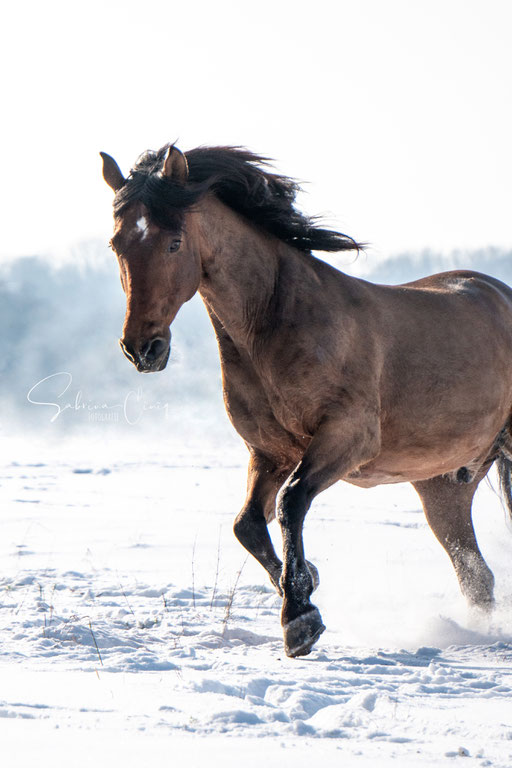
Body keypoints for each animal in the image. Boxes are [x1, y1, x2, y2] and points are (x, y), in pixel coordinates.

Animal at [102, 141, 512, 656]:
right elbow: (247, 524)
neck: (276, 321)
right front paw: (305, 588)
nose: (142, 349)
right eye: (116, 244)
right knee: (475, 576)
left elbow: (290, 503)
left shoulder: (347, 438)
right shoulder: (269, 453)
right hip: (443, 484)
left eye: (174, 242)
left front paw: (299, 619)